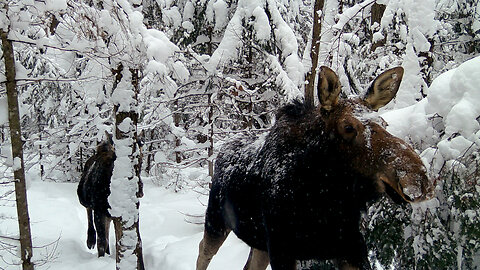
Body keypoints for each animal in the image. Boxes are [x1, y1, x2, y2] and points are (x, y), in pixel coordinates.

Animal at [196, 66, 436, 270]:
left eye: (384, 123)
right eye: (348, 127)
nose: (418, 179)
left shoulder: (350, 245)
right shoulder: (282, 248)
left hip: (259, 241)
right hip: (216, 220)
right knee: (202, 252)